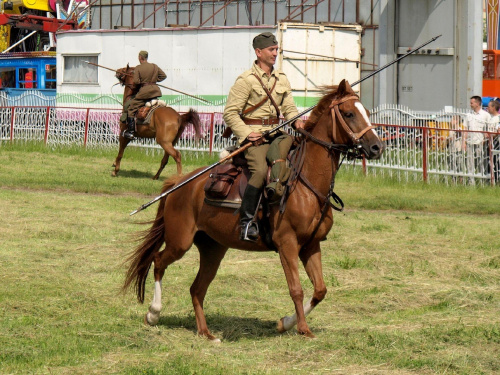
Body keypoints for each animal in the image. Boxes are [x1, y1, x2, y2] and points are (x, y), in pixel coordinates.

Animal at [123, 81, 384, 342]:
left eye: (366, 112)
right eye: (349, 113)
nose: (376, 147)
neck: (304, 183)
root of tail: (180, 183)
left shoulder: (311, 245)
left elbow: (320, 289)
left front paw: (285, 323)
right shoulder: (287, 244)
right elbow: (296, 289)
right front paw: (302, 328)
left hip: (213, 249)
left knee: (197, 288)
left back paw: (207, 333)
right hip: (180, 242)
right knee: (159, 261)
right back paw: (153, 313)